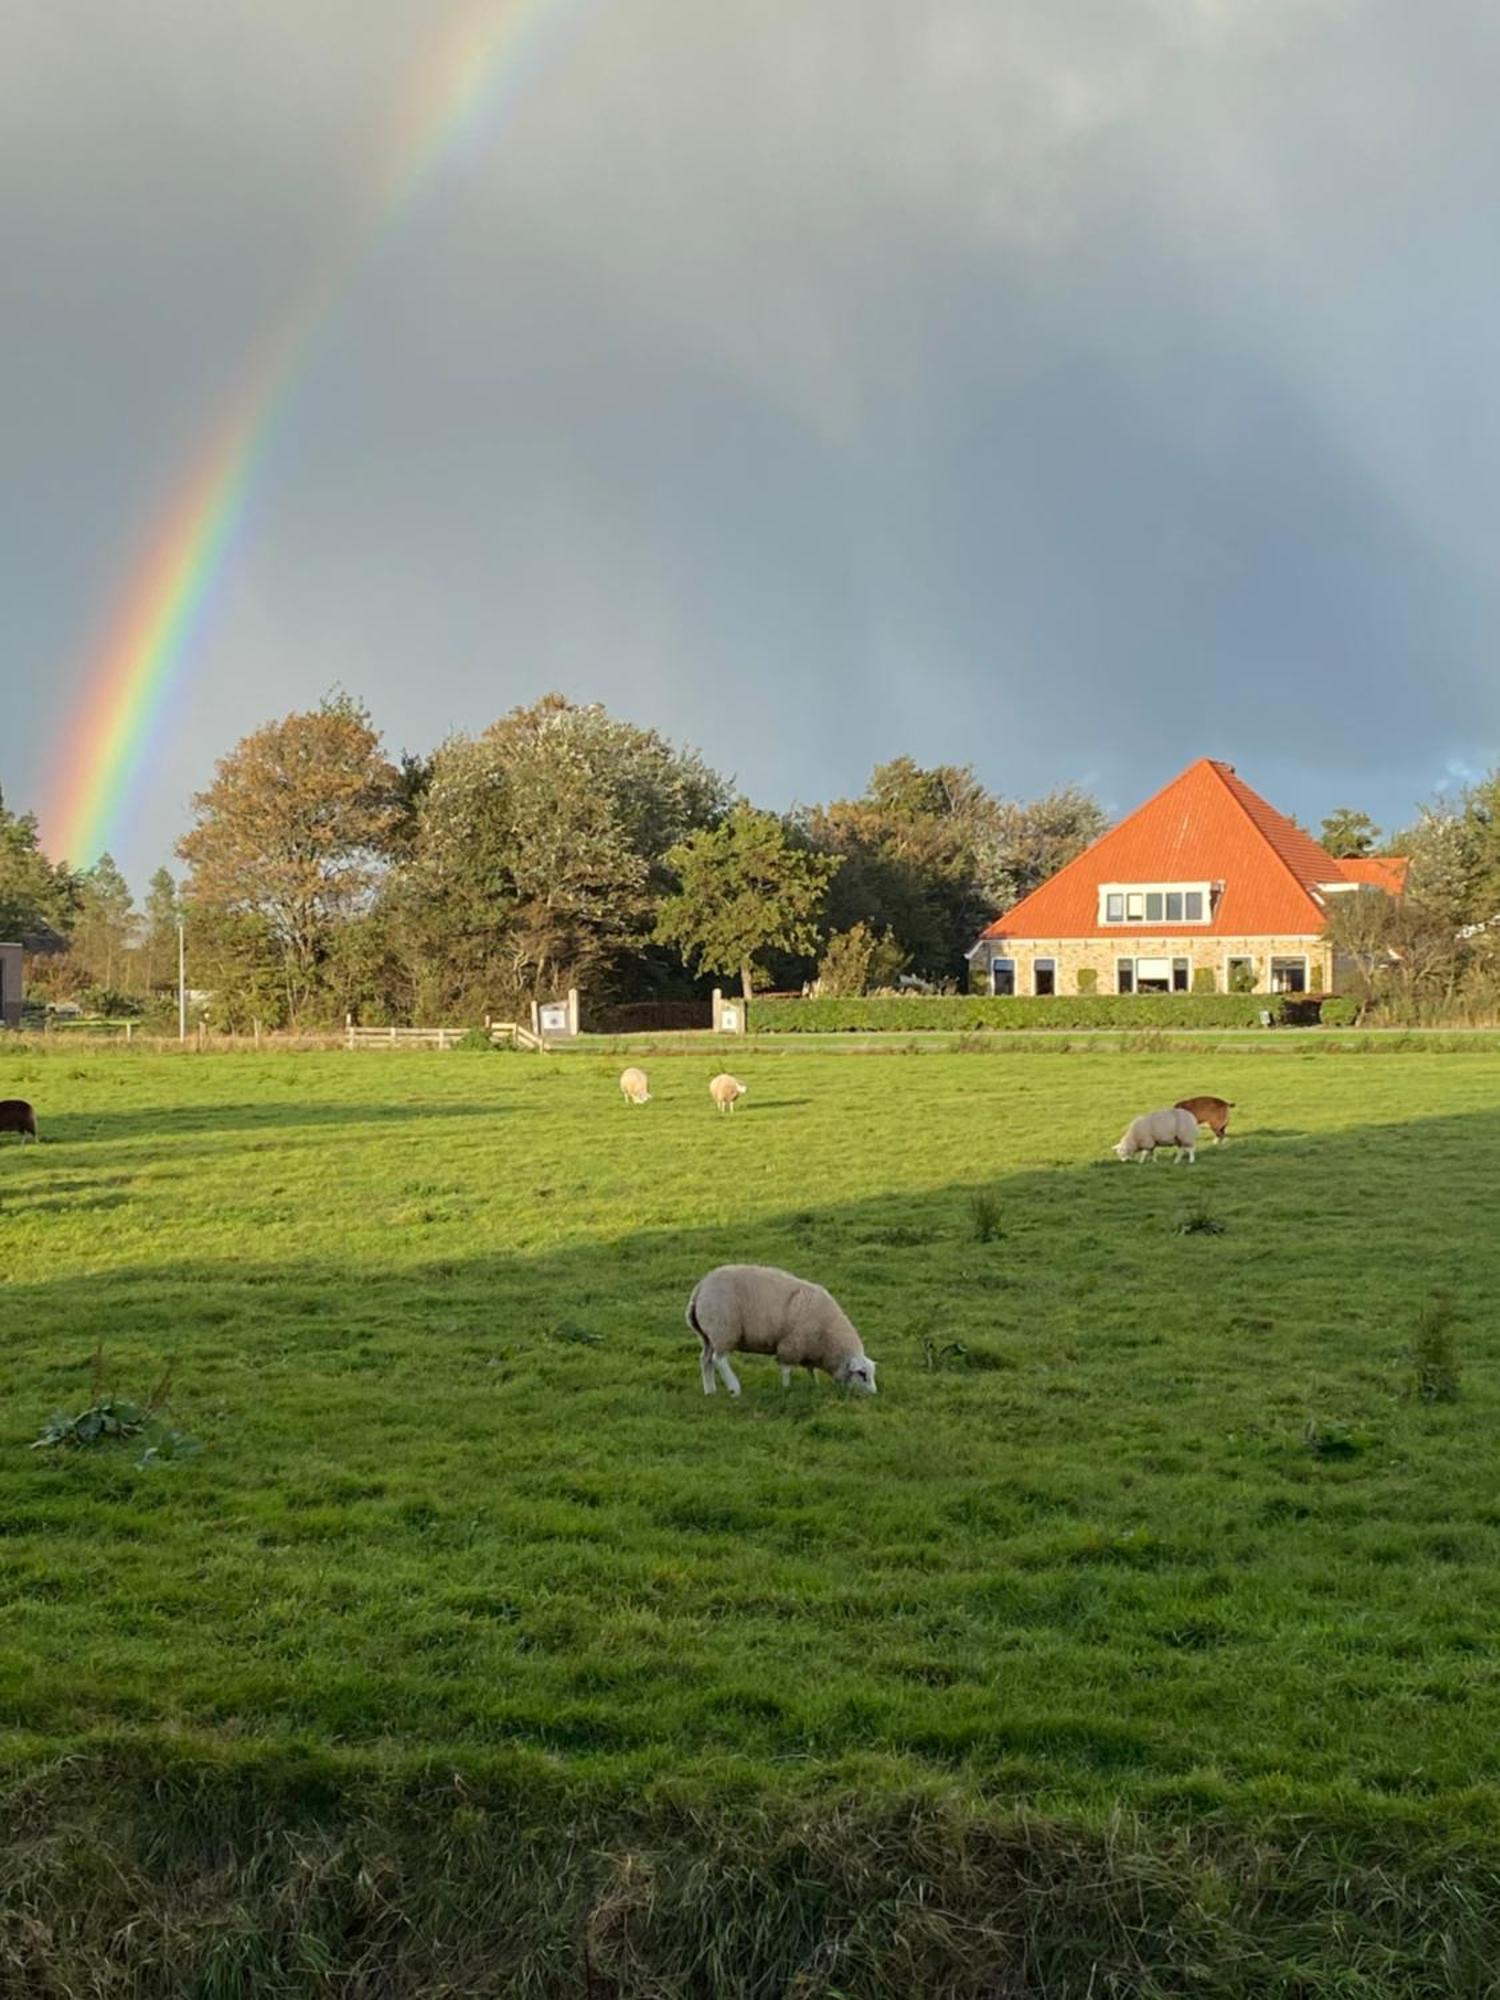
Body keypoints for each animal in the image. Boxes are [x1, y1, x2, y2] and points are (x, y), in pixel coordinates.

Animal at [688, 1264, 876, 1392]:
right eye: (862, 1374)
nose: (873, 1394)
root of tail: (700, 1288)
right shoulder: (791, 1345)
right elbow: (786, 1369)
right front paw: (786, 1388)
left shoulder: (808, 1349)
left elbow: (811, 1370)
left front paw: (815, 1385)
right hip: (723, 1330)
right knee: (718, 1360)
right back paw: (734, 1388)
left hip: (707, 1336)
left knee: (705, 1359)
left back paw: (710, 1390)